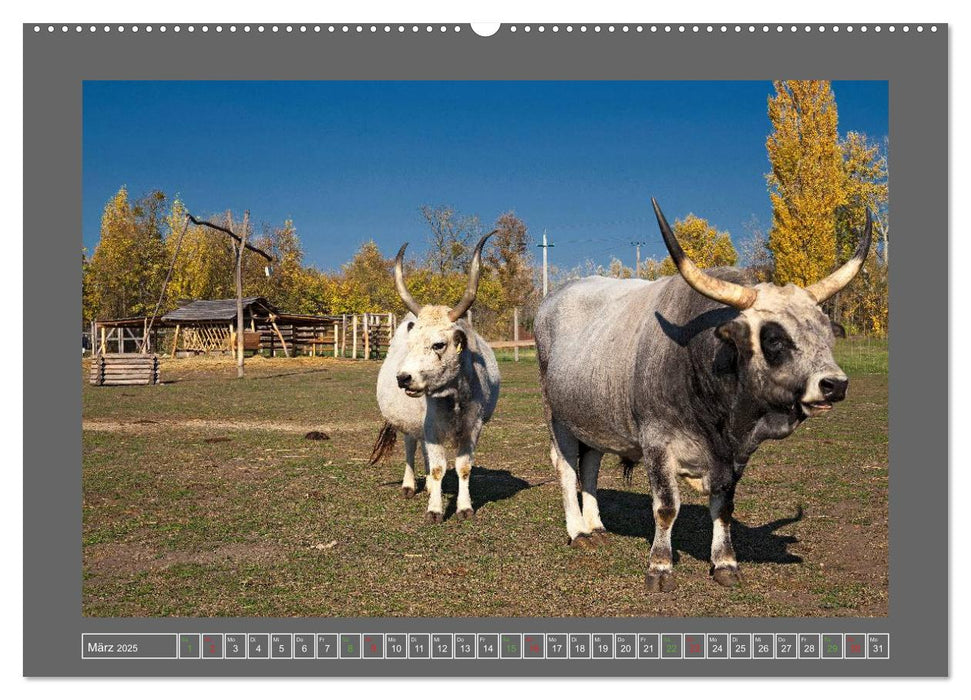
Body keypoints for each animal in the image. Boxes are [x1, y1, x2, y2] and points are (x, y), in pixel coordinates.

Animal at [532, 198, 872, 592]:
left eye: (827, 334)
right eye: (774, 339)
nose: (835, 384)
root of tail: (552, 299)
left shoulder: (733, 456)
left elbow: (723, 506)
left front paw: (725, 562)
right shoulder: (657, 443)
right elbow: (666, 507)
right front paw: (660, 566)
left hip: (593, 417)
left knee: (590, 464)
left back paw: (596, 526)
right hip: (557, 416)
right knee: (567, 466)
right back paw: (578, 531)